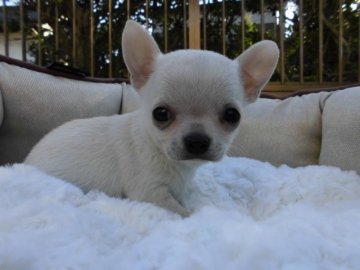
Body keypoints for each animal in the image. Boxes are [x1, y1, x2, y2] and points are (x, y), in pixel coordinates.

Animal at [24, 20, 278, 216]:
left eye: (232, 115)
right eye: (161, 114)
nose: (197, 140)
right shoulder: (150, 193)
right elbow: (181, 212)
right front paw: (195, 215)